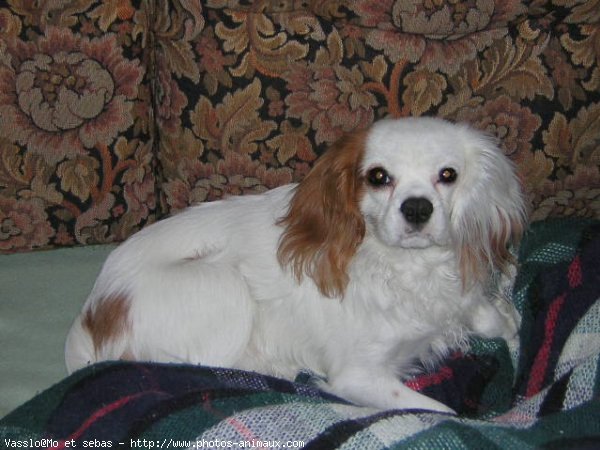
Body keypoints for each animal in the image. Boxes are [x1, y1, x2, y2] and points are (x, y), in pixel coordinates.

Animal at [64, 118, 524, 414]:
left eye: (448, 175)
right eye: (378, 177)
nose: (416, 208)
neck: (405, 267)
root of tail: (90, 315)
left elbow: (498, 321)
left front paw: (503, 309)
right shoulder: (357, 376)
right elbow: (442, 412)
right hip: (221, 282)